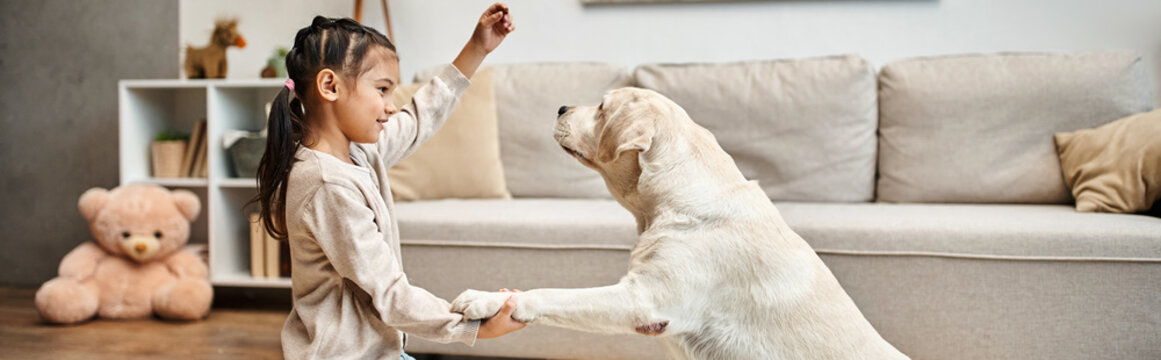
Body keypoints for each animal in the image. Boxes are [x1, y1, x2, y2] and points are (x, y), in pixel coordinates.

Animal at [450, 87, 905, 360]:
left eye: (602, 107)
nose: (561, 107)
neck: (672, 203)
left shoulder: (643, 300)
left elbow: (550, 294)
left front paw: (487, 300)